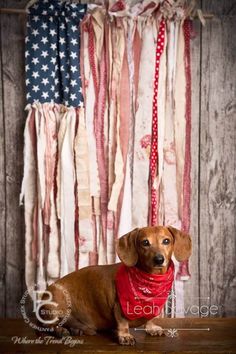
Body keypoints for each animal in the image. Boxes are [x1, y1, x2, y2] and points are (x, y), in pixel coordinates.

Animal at [38, 227, 190, 346]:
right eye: (145, 242)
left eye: (166, 241)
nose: (159, 259)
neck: (150, 281)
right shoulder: (119, 307)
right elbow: (123, 323)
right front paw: (125, 336)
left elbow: (150, 318)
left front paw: (152, 328)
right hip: (55, 306)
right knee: (47, 326)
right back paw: (60, 330)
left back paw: (76, 329)